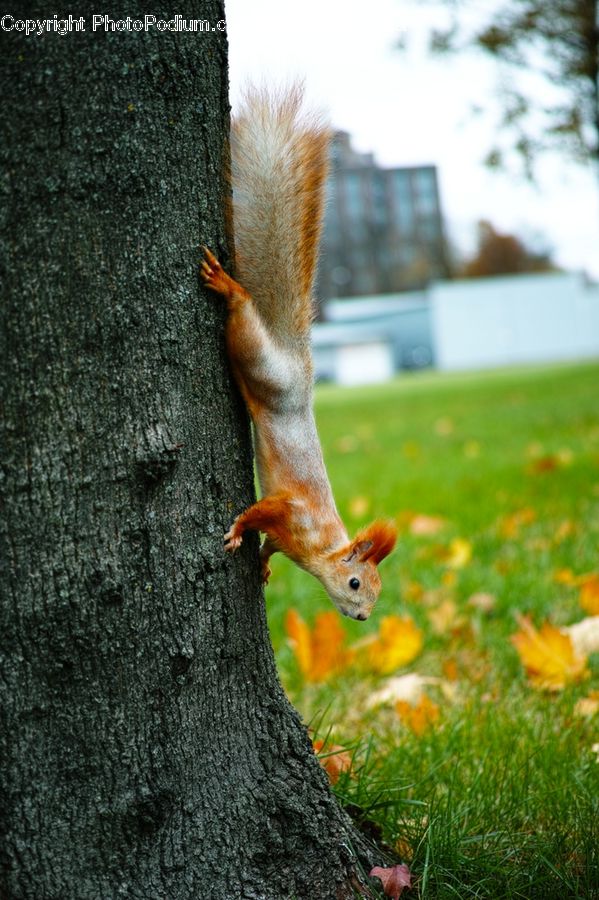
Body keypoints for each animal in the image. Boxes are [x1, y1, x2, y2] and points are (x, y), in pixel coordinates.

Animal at [201, 85, 397, 621]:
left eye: (375, 594)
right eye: (355, 583)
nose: (362, 616)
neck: (321, 544)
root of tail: (300, 370)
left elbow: (271, 545)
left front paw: (265, 564)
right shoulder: (290, 509)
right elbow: (259, 513)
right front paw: (237, 530)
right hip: (260, 361)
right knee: (243, 321)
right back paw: (229, 289)